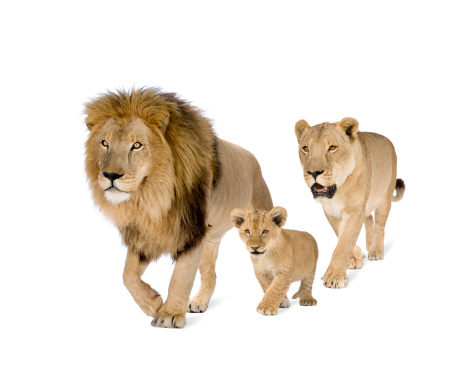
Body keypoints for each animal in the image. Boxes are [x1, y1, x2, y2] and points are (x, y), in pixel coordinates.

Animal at [84, 88, 272, 326]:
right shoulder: (144, 232)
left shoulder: (192, 230)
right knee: (211, 274)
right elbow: (127, 274)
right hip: (210, 240)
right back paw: (199, 302)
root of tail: (252, 156)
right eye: (104, 143)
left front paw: (170, 314)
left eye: (136, 145)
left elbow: (181, 276)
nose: (110, 175)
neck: (152, 197)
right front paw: (153, 304)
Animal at [294, 116, 406, 288]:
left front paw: (334, 276)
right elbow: (341, 235)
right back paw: (369, 245)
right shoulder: (331, 211)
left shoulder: (354, 209)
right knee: (369, 219)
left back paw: (376, 251)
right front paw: (355, 257)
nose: (313, 172)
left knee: (380, 226)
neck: (338, 190)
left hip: (385, 198)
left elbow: (344, 242)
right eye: (306, 148)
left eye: (332, 147)